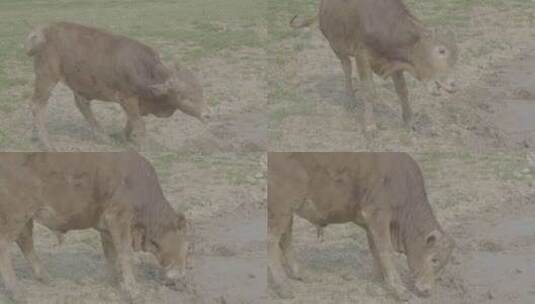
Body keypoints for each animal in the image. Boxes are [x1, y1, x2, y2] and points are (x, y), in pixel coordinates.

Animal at [0, 153, 188, 302]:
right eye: (186, 245)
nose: (181, 279)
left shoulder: (106, 228)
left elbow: (111, 254)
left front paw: (112, 281)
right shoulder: (118, 218)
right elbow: (125, 254)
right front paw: (134, 292)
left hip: (26, 218)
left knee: (25, 242)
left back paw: (45, 278)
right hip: (16, 215)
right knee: (5, 245)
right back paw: (16, 291)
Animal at [25, 22, 210, 150]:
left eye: (201, 91)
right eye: (184, 96)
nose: (208, 115)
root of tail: (42, 30)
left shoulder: (135, 103)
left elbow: (132, 121)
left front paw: (123, 138)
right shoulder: (127, 98)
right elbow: (139, 124)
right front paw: (143, 146)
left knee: (82, 105)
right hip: (47, 78)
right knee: (37, 105)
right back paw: (48, 144)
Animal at [270, 153, 454, 300]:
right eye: (434, 259)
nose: (427, 290)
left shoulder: (370, 222)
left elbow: (375, 250)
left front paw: (377, 280)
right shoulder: (378, 215)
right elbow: (385, 251)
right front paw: (399, 289)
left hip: (287, 211)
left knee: (285, 239)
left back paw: (300, 274)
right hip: (281, 208)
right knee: (271, 242)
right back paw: (283, 287)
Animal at [292, 0, 458, 132]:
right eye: (441, 50)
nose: (453, 84)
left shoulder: (394, 63)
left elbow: (402, 90)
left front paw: (409, 121)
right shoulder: (362, 56)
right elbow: (369, 91)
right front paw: (370, 125)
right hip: (336, 46)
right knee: (346, 67)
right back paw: (350, 99)